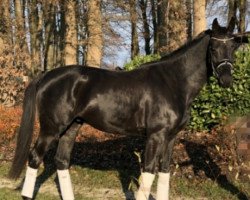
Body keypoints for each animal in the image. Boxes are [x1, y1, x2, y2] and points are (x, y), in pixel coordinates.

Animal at [8, 18, 248, 199]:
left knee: (61, 162)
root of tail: (47, 75)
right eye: (214, 48)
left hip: (71, 128)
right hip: (51, 128)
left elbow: (164, 172)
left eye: (233, 47)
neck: (173, 82)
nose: (227, 80)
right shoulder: (155, 135)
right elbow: (148, 173)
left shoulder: (171, 137)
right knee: (35, 157)